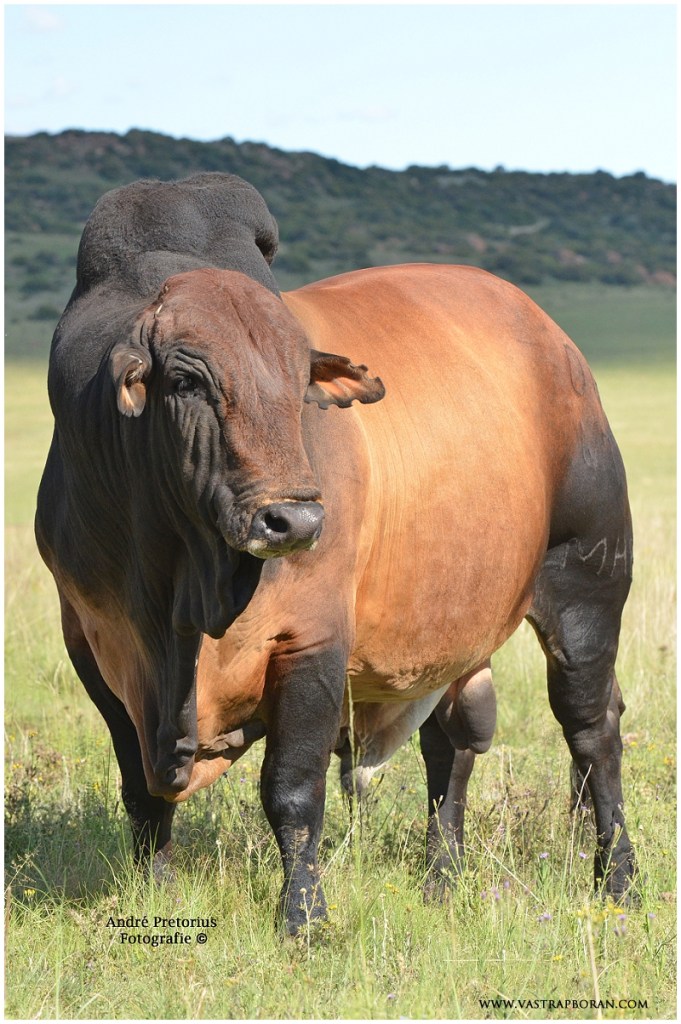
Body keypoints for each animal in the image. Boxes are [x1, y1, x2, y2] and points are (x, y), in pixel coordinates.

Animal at [35, 173, 635, 935]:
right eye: (187, 380)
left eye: (301, 384)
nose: (293, 519)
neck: (180, 587)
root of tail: (556, 343)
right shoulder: (93, 645)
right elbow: (141, 789)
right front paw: (155, 893)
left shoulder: (311, 643)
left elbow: (291, 792)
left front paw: (302, 917)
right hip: (451, 629)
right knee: (452, 744)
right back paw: (441, 880)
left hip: (587, 585)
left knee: (593, 732)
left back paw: (618, 881)